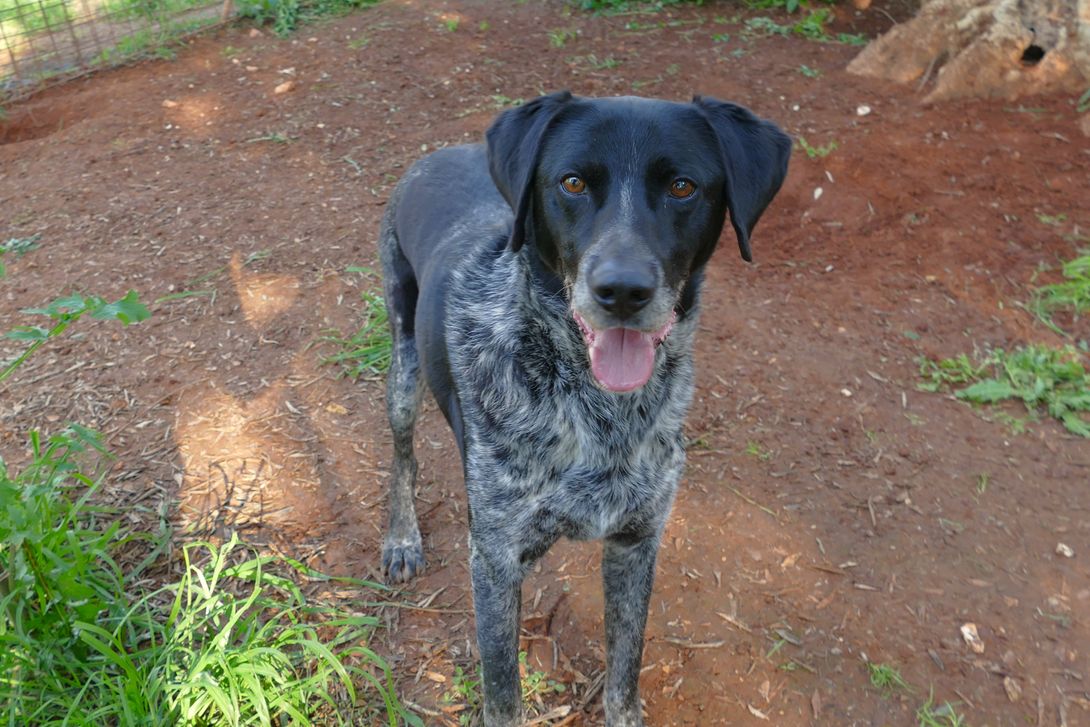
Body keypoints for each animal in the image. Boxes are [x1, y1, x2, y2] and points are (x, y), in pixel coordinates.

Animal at [377, 92, 790, 726]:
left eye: (683, 187)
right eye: (572, 182)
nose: (621, 291)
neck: (599, 410)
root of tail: (435, 155)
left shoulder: (636, 542)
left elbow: (624, 674)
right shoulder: (493, 561)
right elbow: (503, 695)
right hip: (403, 364)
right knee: (404, 451)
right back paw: (402, 538)